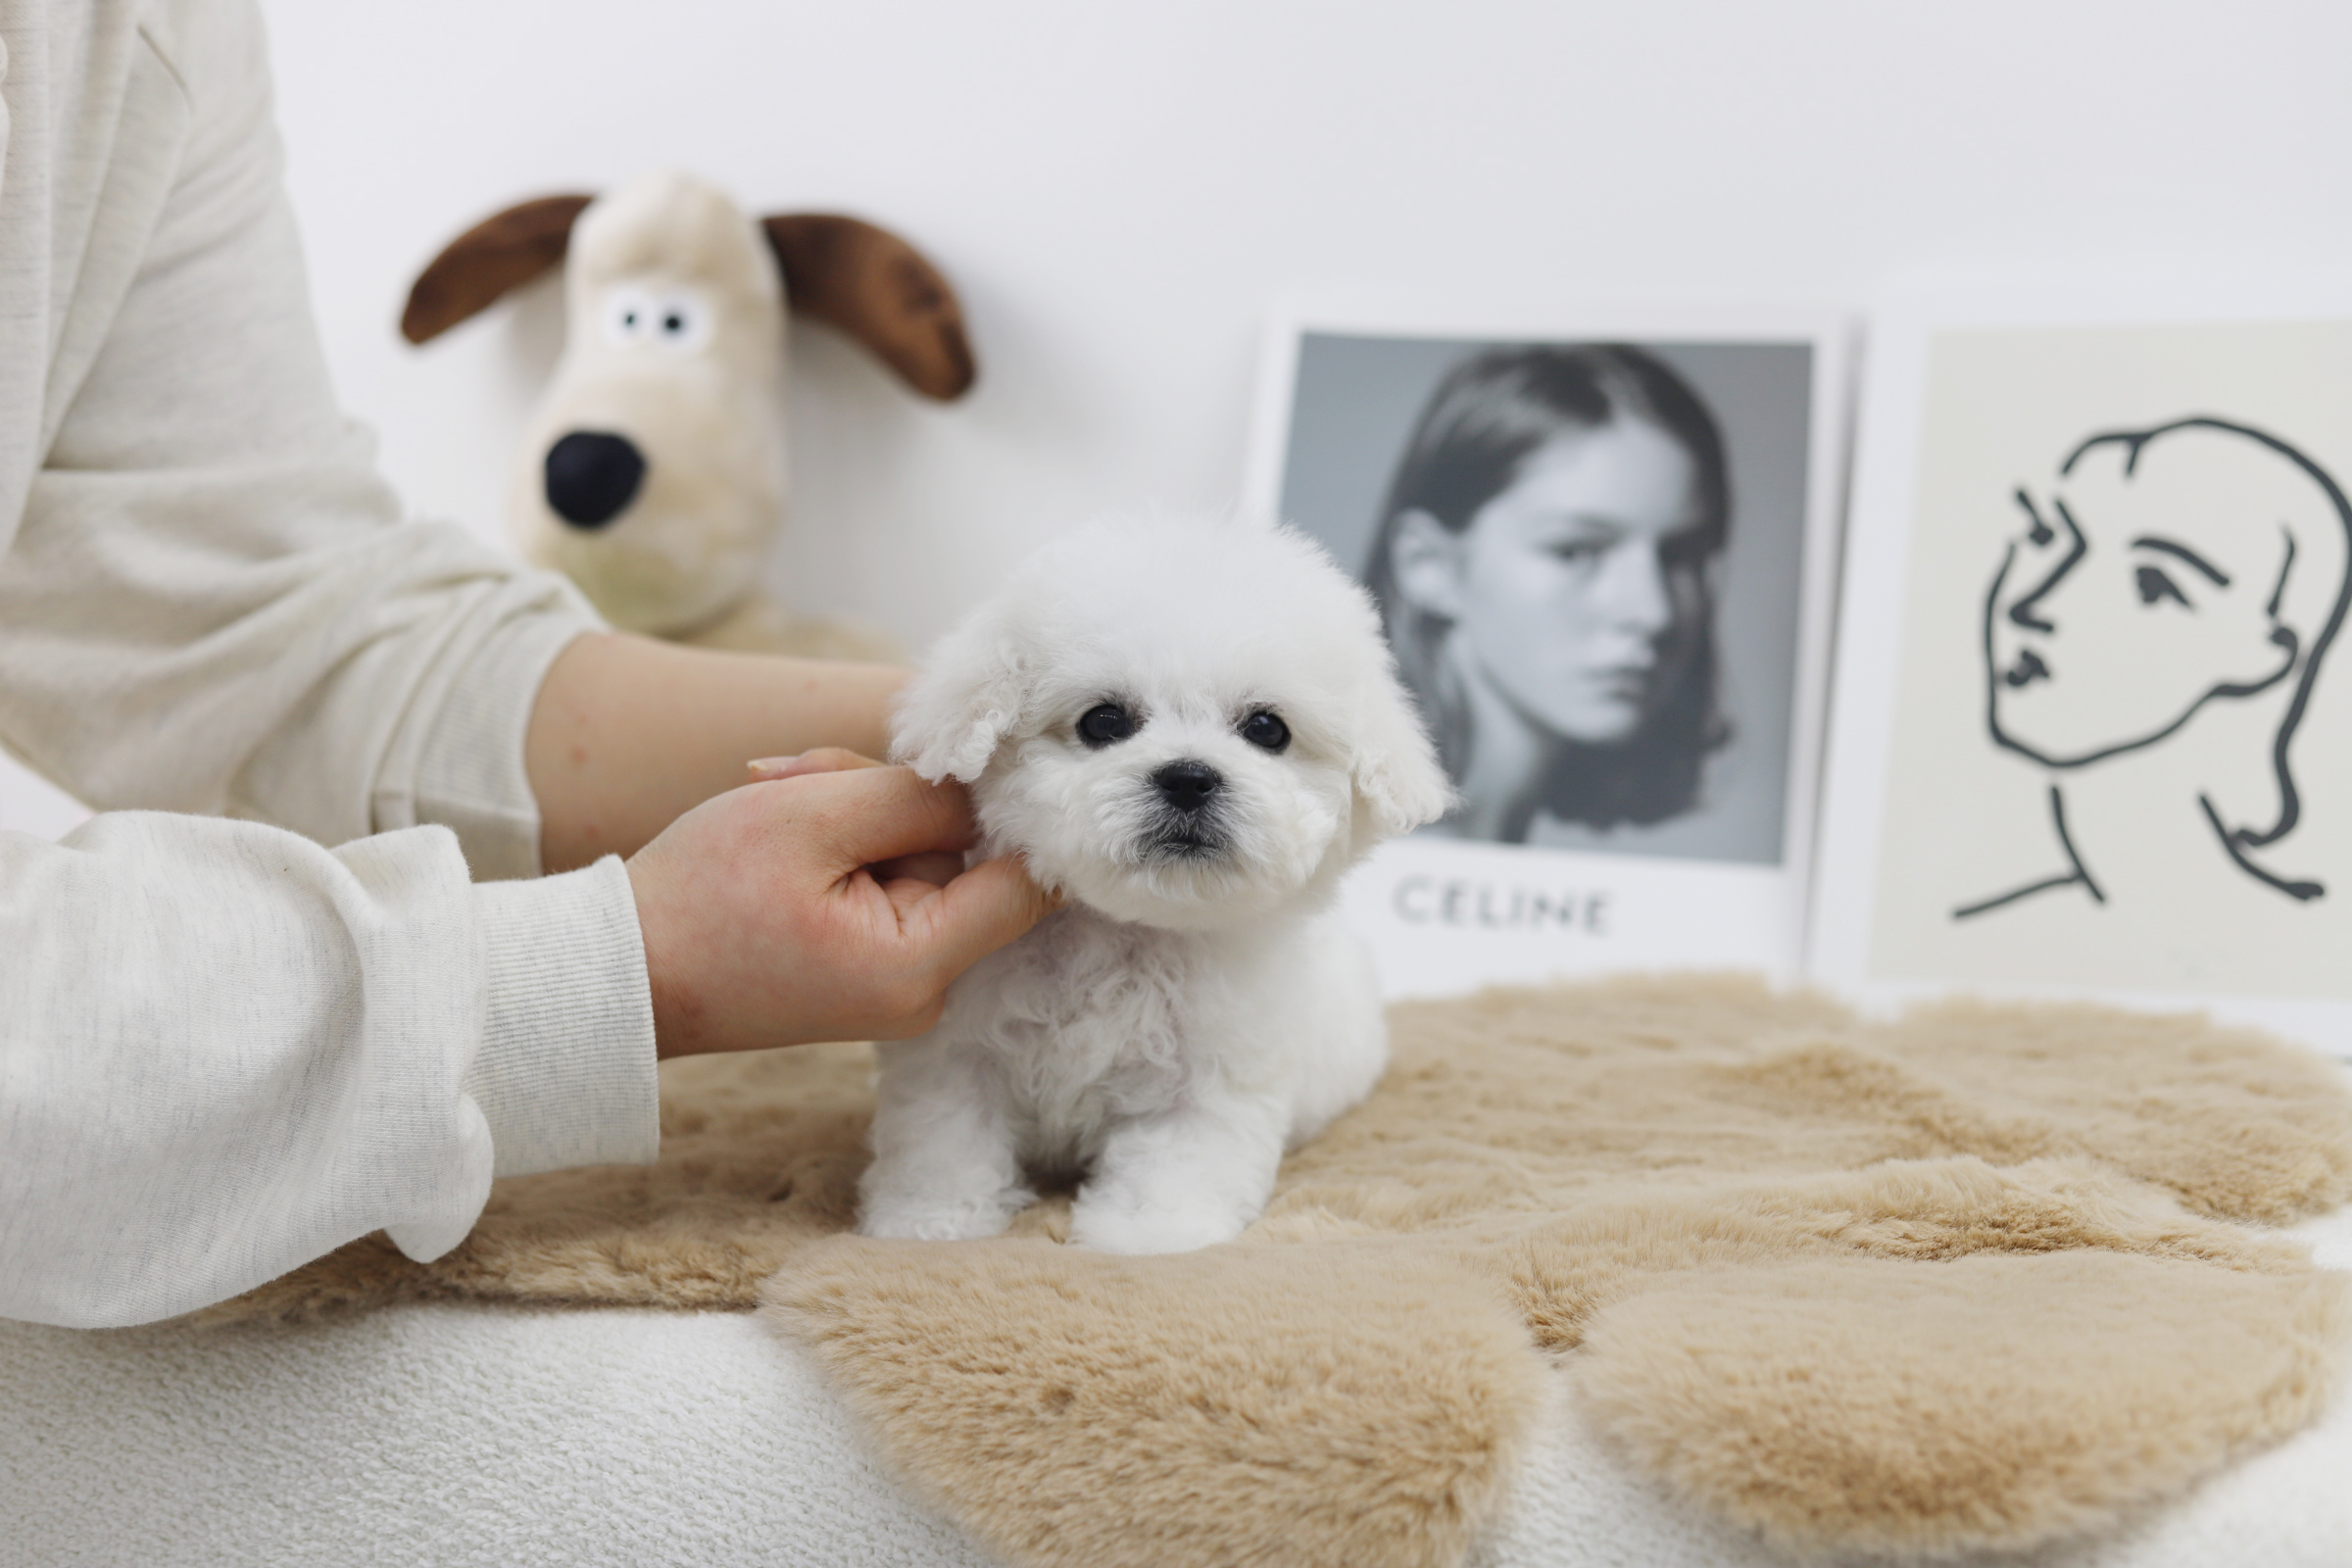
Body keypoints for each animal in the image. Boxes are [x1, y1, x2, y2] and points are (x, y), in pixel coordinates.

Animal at [865, 521, 1448, 1259]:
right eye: (1103, 722)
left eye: (1267, 729)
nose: (1189, 777)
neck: (1127, 931)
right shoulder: (954, 1048)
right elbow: (945, 1135)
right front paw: (930, 1222)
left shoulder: (1209, 1075)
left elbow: (1178, 1156)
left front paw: (1150, 1235)